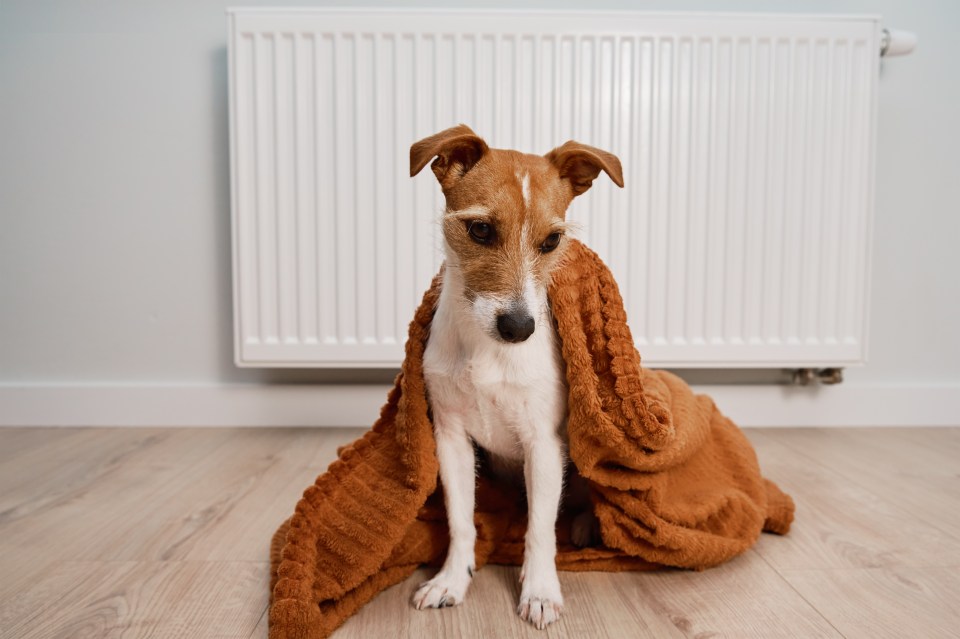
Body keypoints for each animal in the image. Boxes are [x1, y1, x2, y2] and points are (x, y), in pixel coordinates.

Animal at [406, 125, 624, 632]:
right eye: (480, 229)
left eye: (552, 241)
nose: (520, 328)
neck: (487, 352)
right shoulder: (450, 439)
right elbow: (461, 520)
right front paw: (451, 579)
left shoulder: (543, 445)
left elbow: (540, 530)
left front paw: (540, 591)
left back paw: (586, 526)